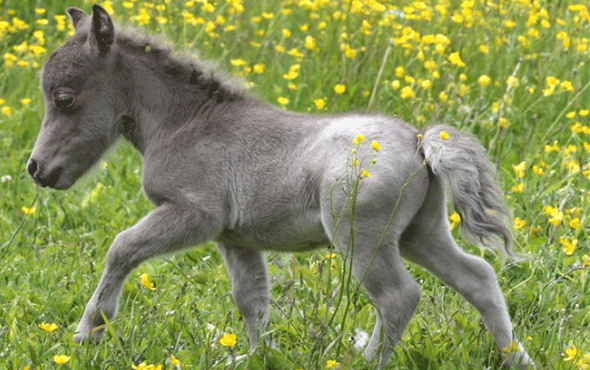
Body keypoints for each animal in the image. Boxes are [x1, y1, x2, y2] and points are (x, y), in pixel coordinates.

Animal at [27, 5, 536, 370]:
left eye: (65, 98)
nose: (37, 169)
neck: (184, 122)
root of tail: (420, 141)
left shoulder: (194, 215)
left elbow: (122, 248)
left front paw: (89, 332)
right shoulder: (233, 237)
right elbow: (251, 298)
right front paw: (254, 356)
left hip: (362, 238)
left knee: (399, 296)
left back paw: (366, 361)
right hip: (419, 234)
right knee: (478, 277)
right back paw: (517, 359)